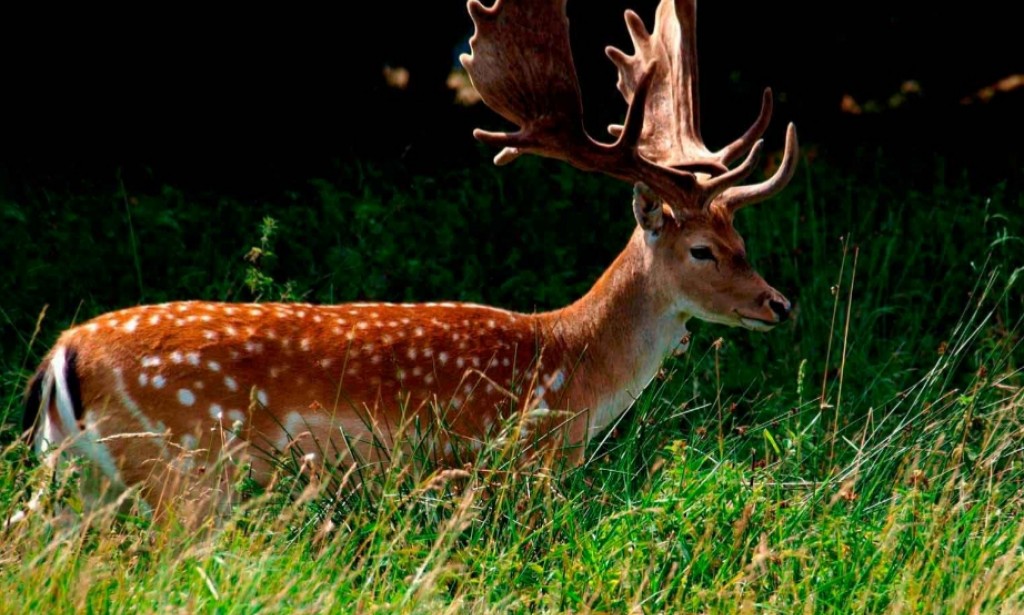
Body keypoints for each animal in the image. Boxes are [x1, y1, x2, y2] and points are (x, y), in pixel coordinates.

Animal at [13, 0, 797, 524]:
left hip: (80, 475)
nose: (779, 304)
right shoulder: (510, 461)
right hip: (186, 463)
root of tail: (63, 353)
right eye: (702, 249)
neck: (570, 367)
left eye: (742, 238)